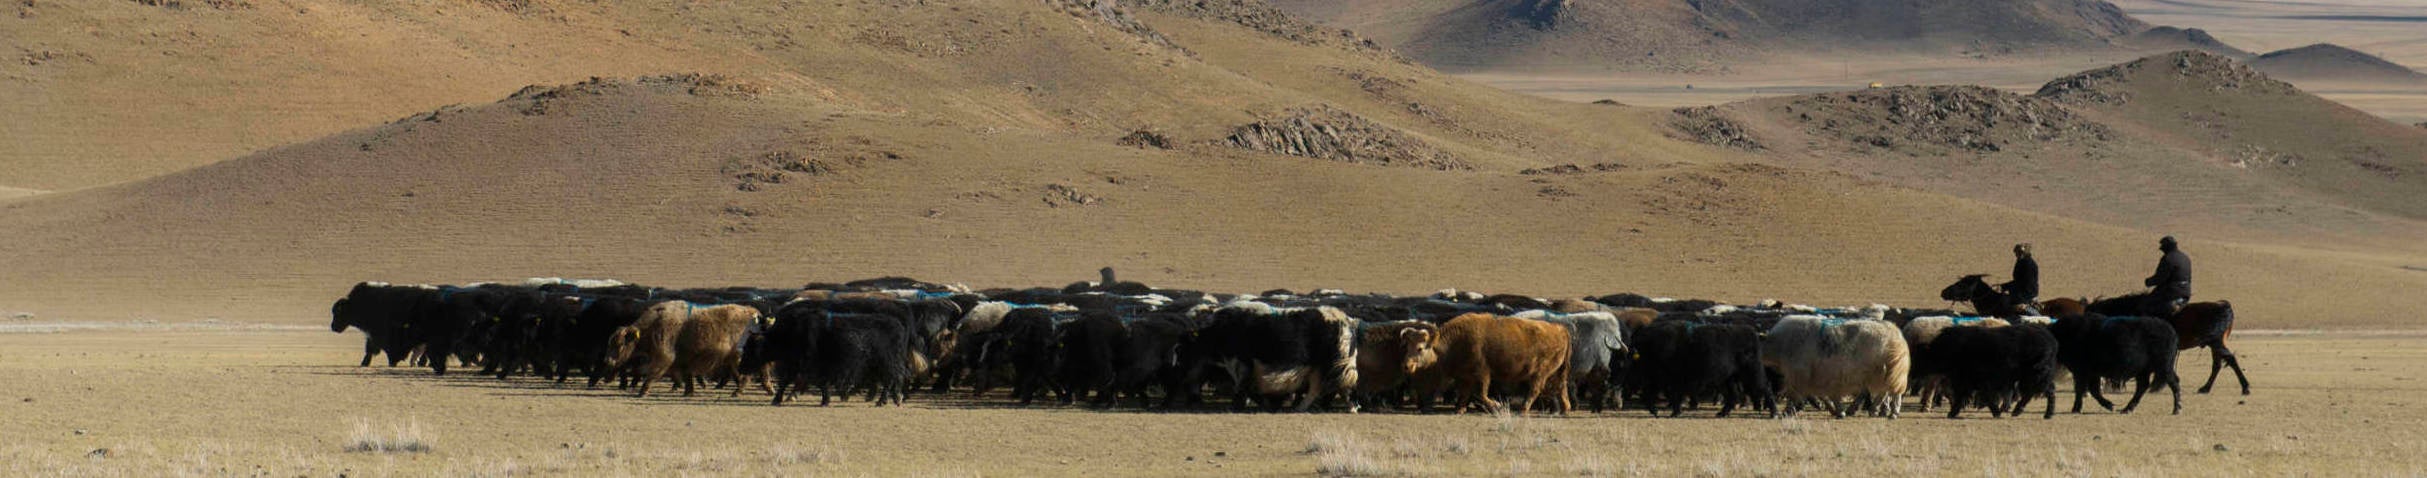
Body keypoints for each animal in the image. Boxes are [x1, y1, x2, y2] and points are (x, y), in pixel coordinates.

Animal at [2087, 293, 2252, 393]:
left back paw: (2244, 387)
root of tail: (2223, 306)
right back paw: (2206, 388)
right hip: (2215, 343)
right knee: (2218, 364)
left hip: (2215, 342)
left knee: (2228, 360)